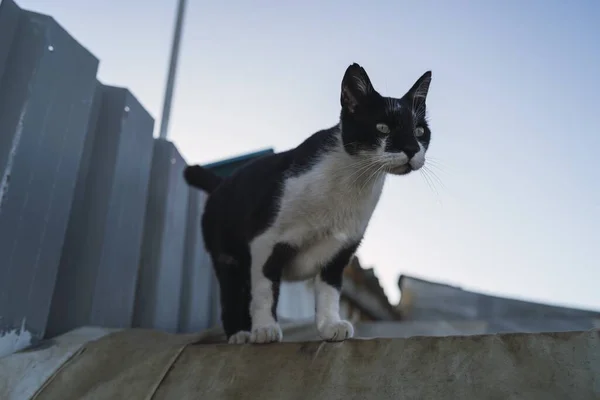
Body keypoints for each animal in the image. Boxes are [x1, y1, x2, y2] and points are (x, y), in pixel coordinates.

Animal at [183, 62, 432, 344]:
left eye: (420, 131)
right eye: (382, 128)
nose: (412, 149)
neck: (352, 182)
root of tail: (220, 182)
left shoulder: (340, 251)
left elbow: (329, 292)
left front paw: (330, 326)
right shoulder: (265, 241)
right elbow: (265, 289)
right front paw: (265, 329)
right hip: (228, 256)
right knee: (233, 292)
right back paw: (240, 333)